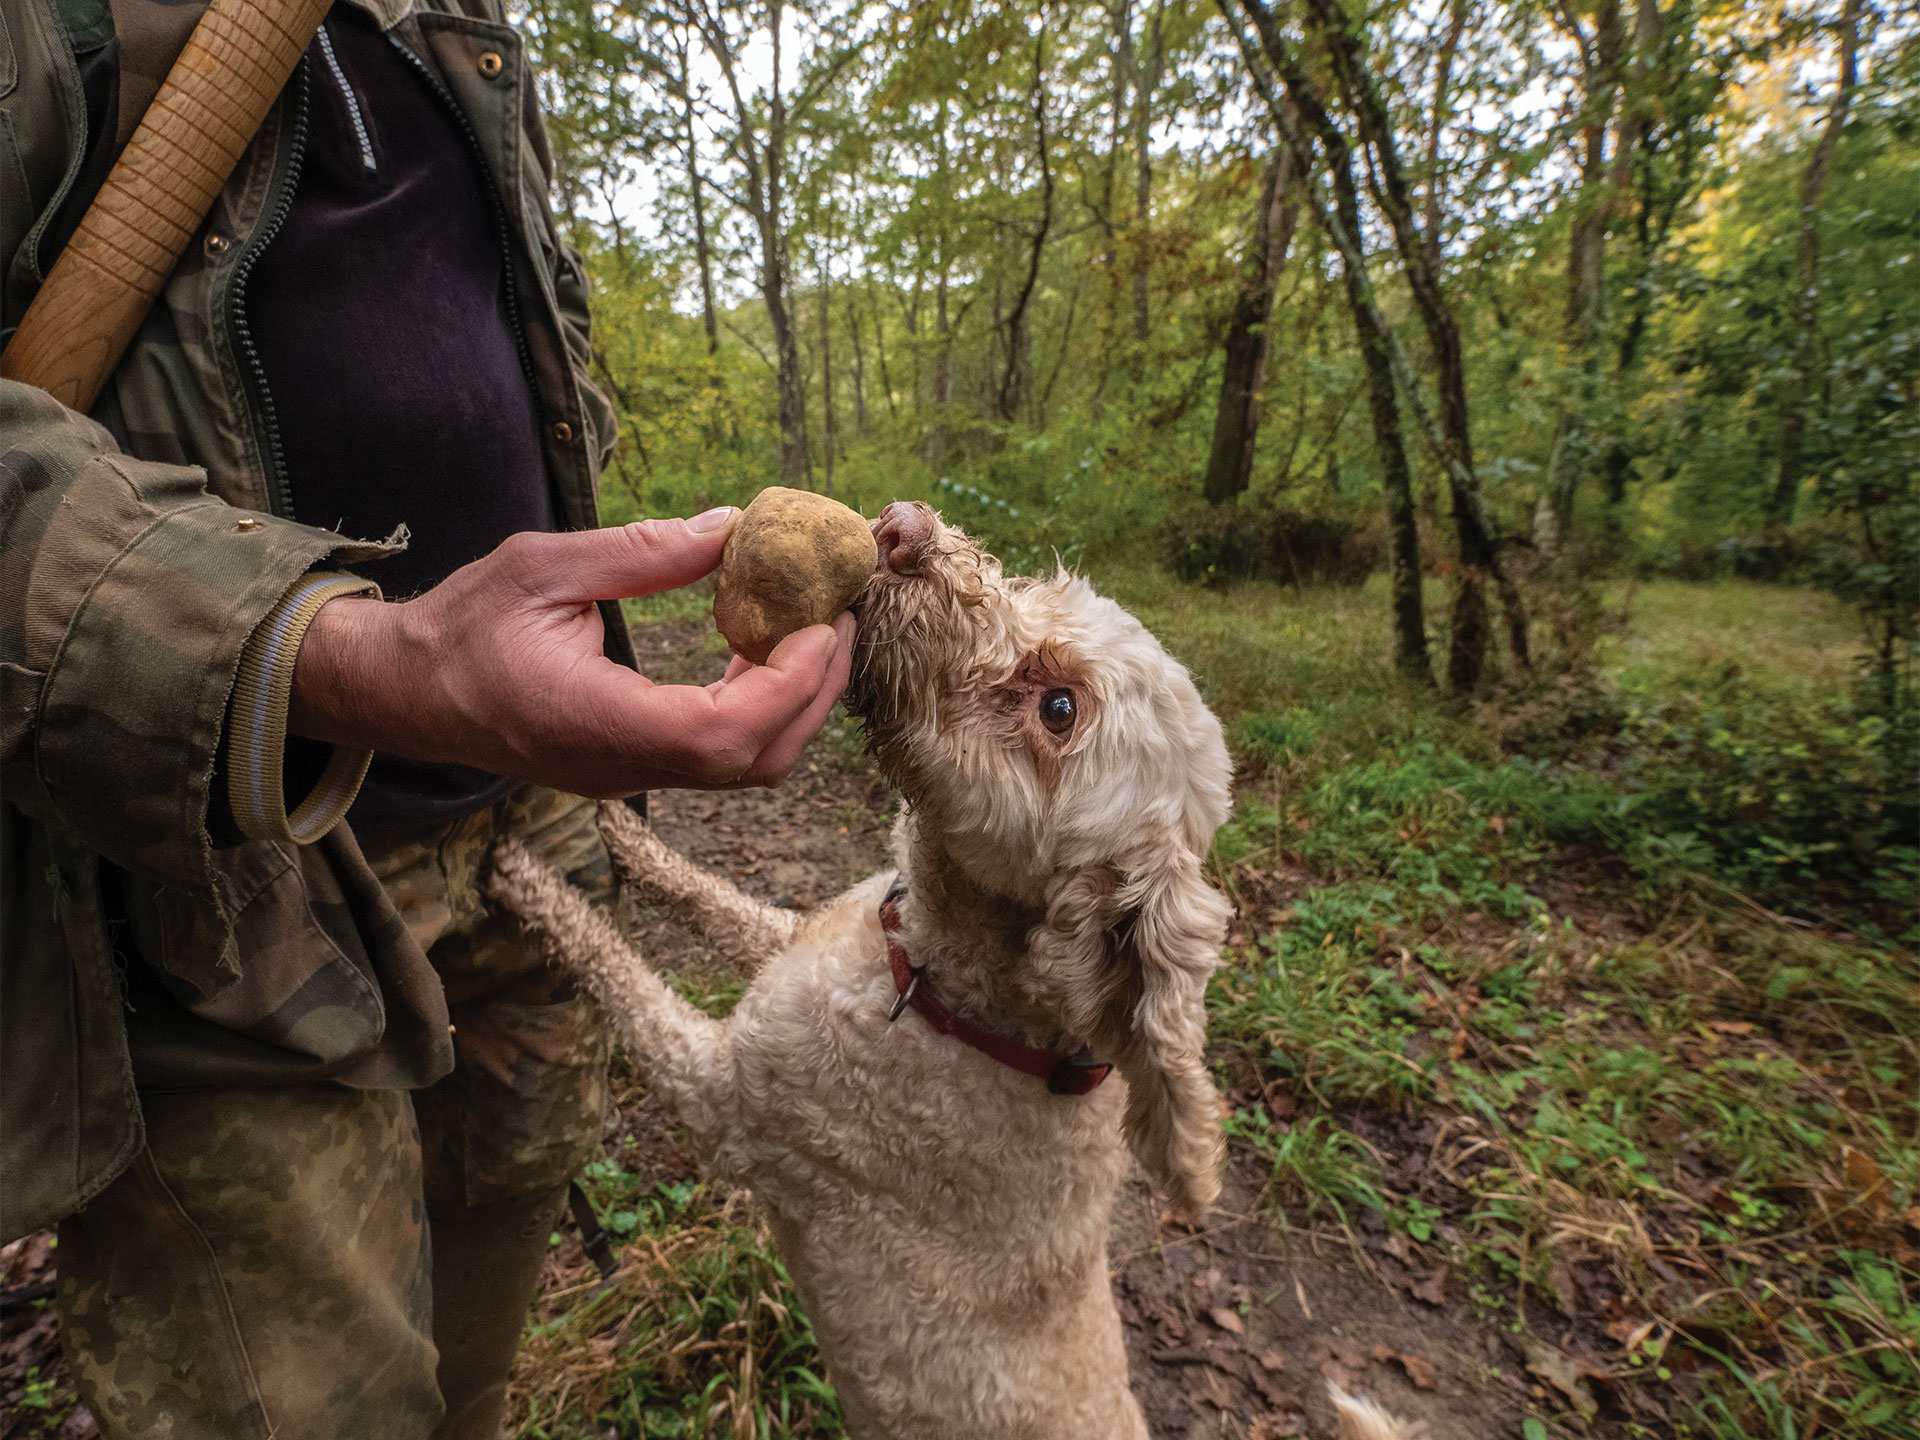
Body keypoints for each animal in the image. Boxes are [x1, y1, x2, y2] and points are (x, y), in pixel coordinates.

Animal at [487, 503, 1420, 1440]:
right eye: (1039, 587)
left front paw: (523, 876)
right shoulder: (799, 939)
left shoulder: (729, 1103)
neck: (938, 992)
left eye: (1058, 707)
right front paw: (622, 835)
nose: (904, 528)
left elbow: (614, 970)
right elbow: (712, 897)